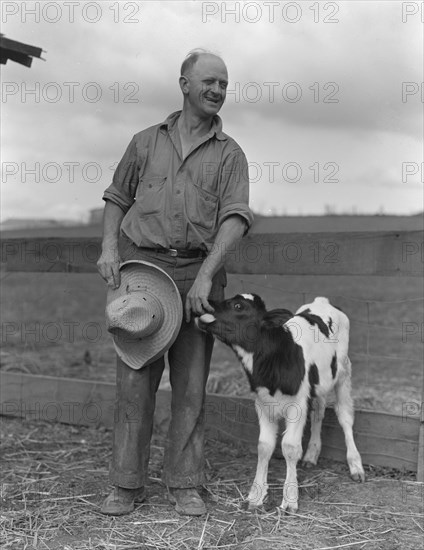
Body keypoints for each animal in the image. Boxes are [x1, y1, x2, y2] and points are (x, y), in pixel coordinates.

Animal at [196, 296, 364, 516]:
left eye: (238, 306)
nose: (204, 303)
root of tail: (322, 301)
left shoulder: (298, 404)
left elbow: (290, 447)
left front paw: (290, 499)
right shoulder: (263, 403)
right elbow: (264, 446)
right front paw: (256, 496)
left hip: (343, 372)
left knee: (345, 417)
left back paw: (356, 465)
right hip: (319, 384)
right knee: (318, 411)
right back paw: (311, 455)